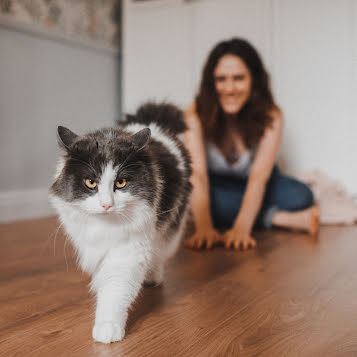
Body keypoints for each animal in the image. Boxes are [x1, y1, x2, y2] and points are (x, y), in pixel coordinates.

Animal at [49, 102, 192, 342]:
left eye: (121, 182)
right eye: (90, 183)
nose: (107, 205)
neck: (105, 226)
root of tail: (153, 121)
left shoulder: (129, 251)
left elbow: (115, 290)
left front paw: (107, 327)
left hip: (168, 232)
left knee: (158, 256)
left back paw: (152, 278)